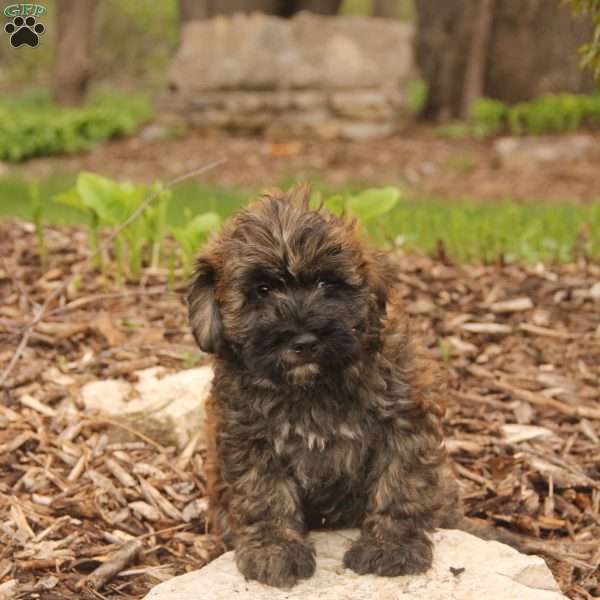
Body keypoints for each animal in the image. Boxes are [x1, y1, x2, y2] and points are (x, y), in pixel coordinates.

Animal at [189, 185, 464, 588]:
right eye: (262, 289)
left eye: (325, 283)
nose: (303, 341)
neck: (313, 387)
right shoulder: (249, 438)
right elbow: (264, 494)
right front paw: (275, 549)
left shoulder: (405, 419)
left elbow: (400, 483)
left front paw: (391, 545)